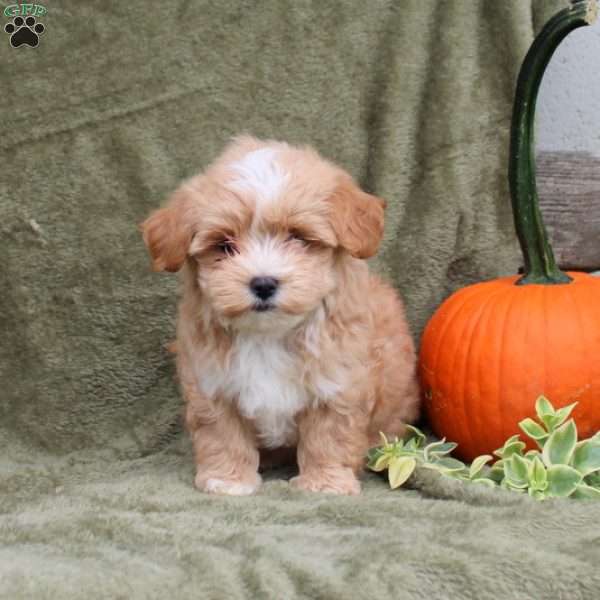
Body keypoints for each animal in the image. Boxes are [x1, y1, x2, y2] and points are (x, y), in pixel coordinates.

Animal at [141, 137, 422, 496]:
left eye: (298, 237)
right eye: (224, 245)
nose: (263, 283)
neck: (268, 334)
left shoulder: (339, 382)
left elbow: (329, 437)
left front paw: (325, 483)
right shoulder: (212, 385)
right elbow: (222, 434)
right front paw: (228, 479)